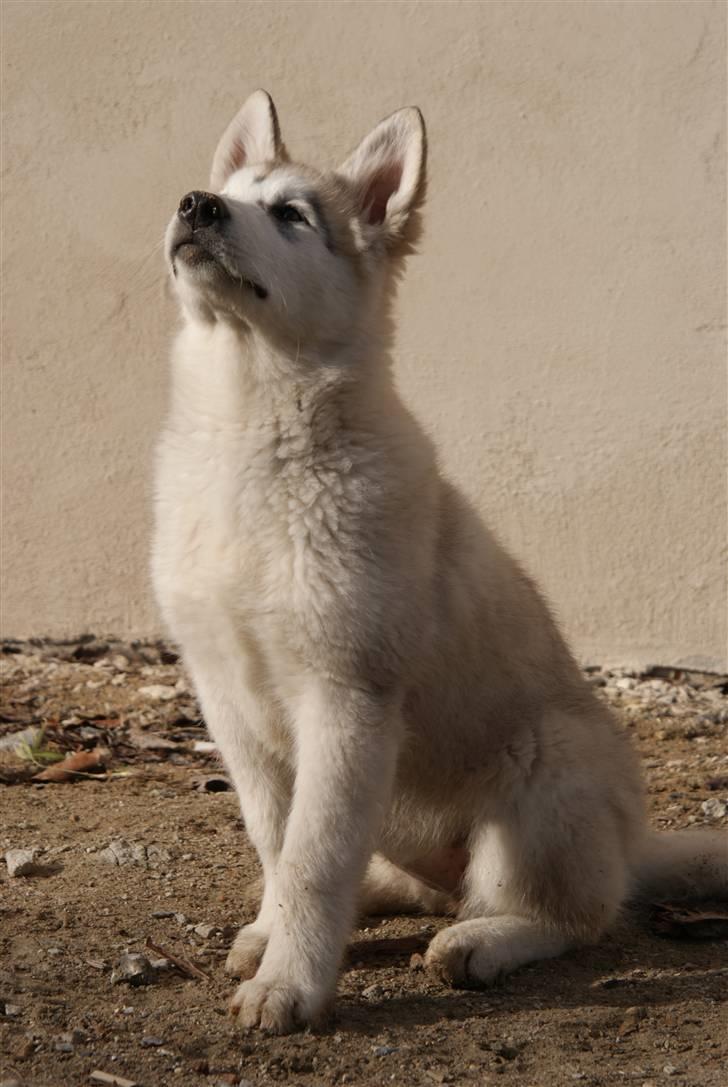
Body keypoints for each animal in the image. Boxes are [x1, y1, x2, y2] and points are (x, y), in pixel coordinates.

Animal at [151, 91, 725, 1034]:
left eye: (291, 215)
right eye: (230, 191)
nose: (196, 204)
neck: (251, 436)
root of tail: (632, 845)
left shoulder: (346, 697)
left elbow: (312, 858)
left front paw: (289, 982)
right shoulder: (229, 699)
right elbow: (279, 841)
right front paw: (275, 936)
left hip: (539, 786)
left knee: (576, 914)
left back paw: (484, 942)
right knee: (410, 880)